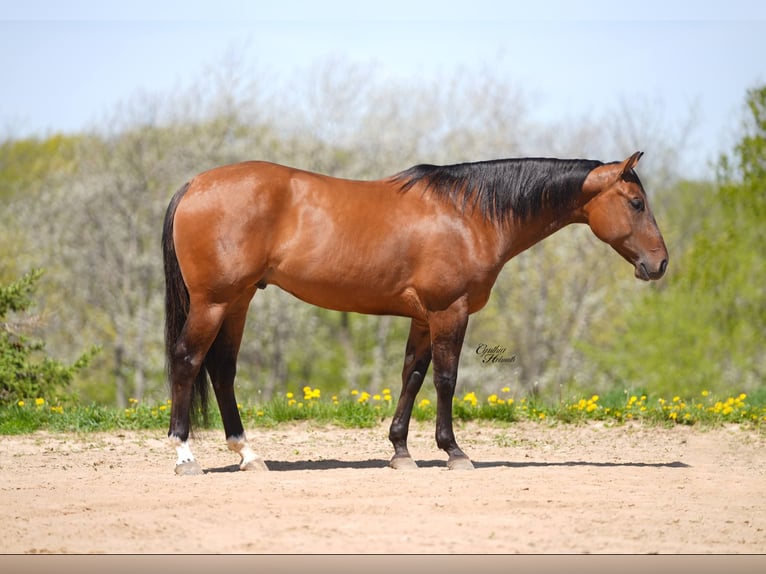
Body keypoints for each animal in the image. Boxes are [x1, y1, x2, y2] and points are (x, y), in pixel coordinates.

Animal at [162, 151, 668, 475]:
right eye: (636, 203)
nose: (660, 264)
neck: (468, 214)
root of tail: (194, 184)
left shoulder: (424, 317)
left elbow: (412, 375)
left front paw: (401, 452)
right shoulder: (449, 312)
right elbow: (445, 379)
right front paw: (454, 452)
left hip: (239, 301)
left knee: (222, 370)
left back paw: (248, 455)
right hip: (214, 302)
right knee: (187, 361)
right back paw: (185, 456)